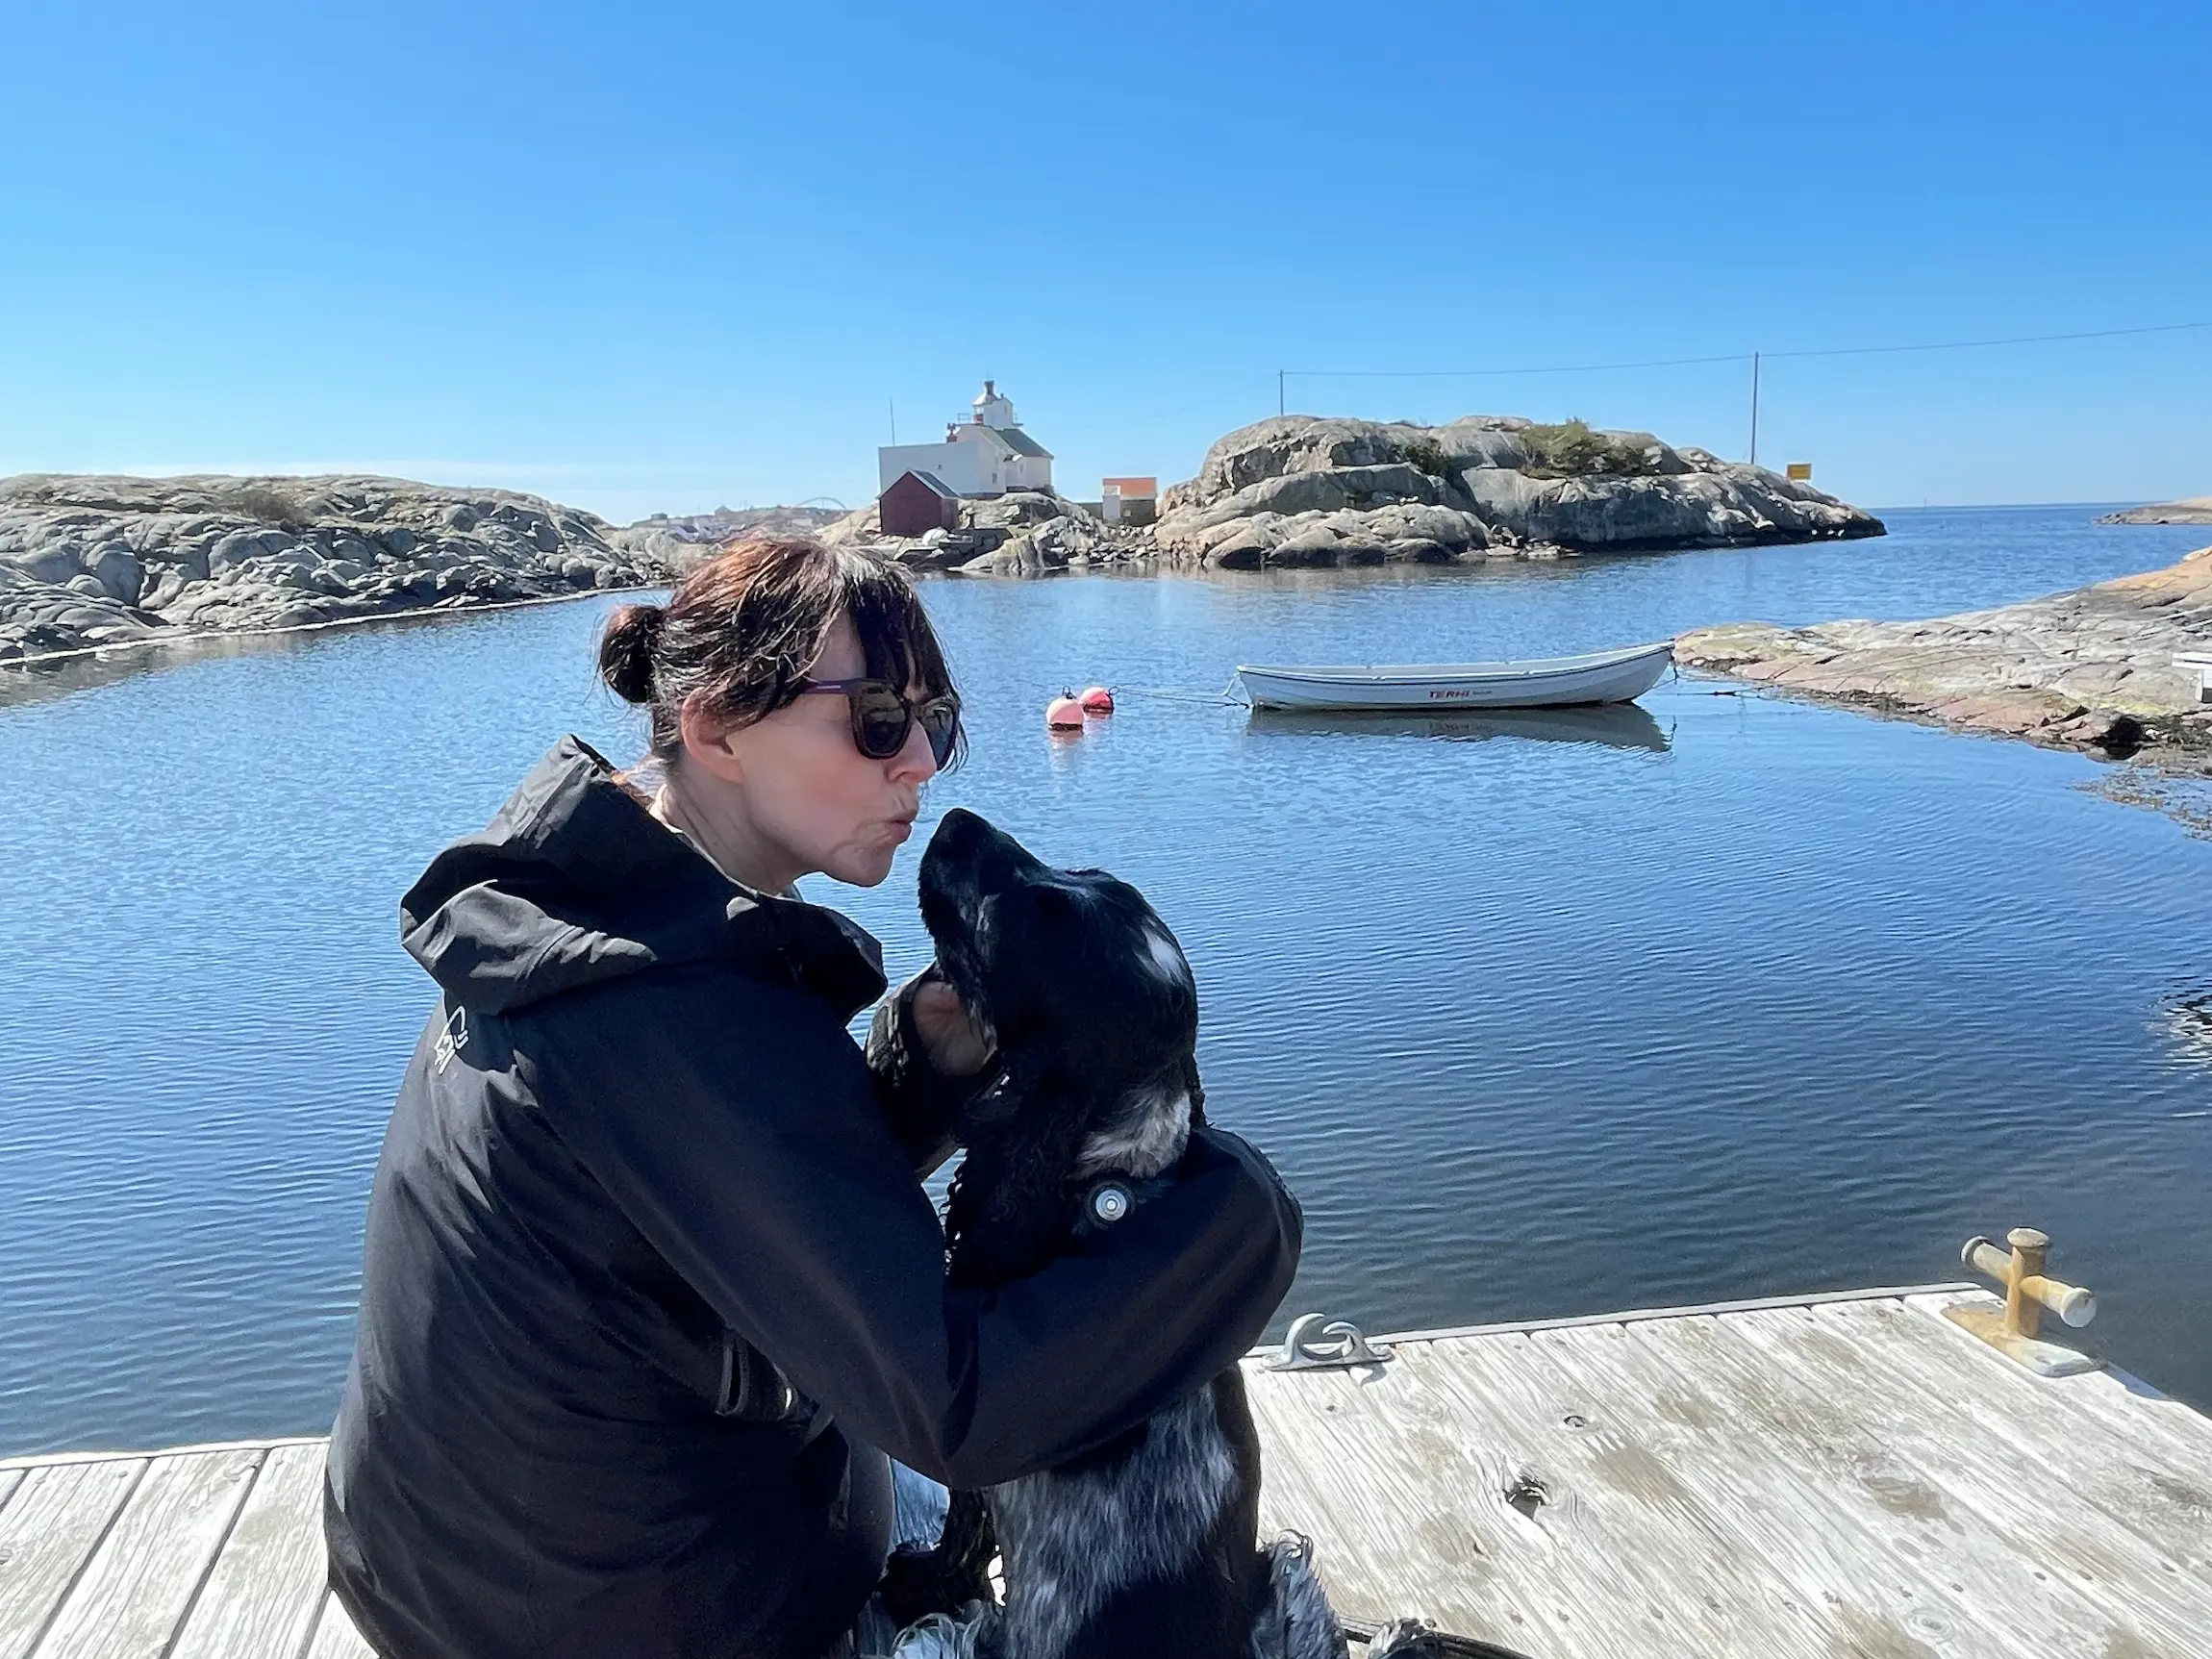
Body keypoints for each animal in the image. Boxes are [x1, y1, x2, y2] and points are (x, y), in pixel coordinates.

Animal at [885, 814, 1345, 1659]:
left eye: (1037, 919)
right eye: (1082, 871)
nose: (956, 820)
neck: (1101, 1171)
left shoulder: (982, 1474)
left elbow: (961, 1528)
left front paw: (921, 1580)